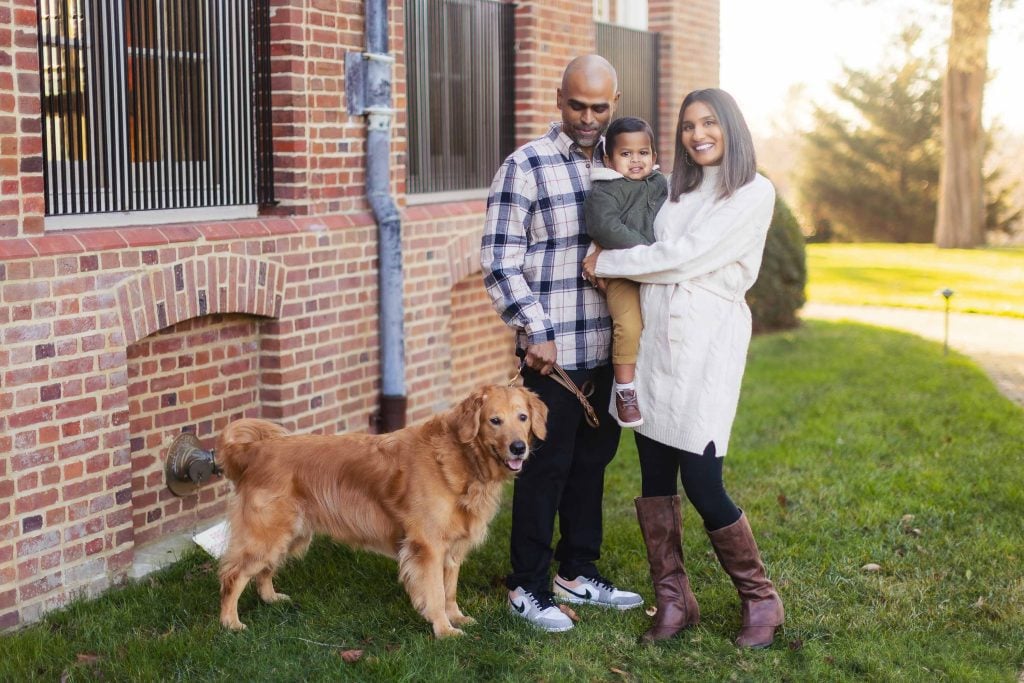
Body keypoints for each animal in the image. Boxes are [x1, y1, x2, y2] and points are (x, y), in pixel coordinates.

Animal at [216, 382, 548, 638]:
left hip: (290, 533)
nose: (519, 448)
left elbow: (450, 589)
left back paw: (270, 598)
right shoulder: (427, 546)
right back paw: (230, 623)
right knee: (233, 575)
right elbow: (436, 593)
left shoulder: (452, 547)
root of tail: (255, 450)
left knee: (263, 570)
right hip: (268, 533)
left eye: (522, 417)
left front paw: (456, 617)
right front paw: (444, 630)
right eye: (494, 420)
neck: (462, 456)